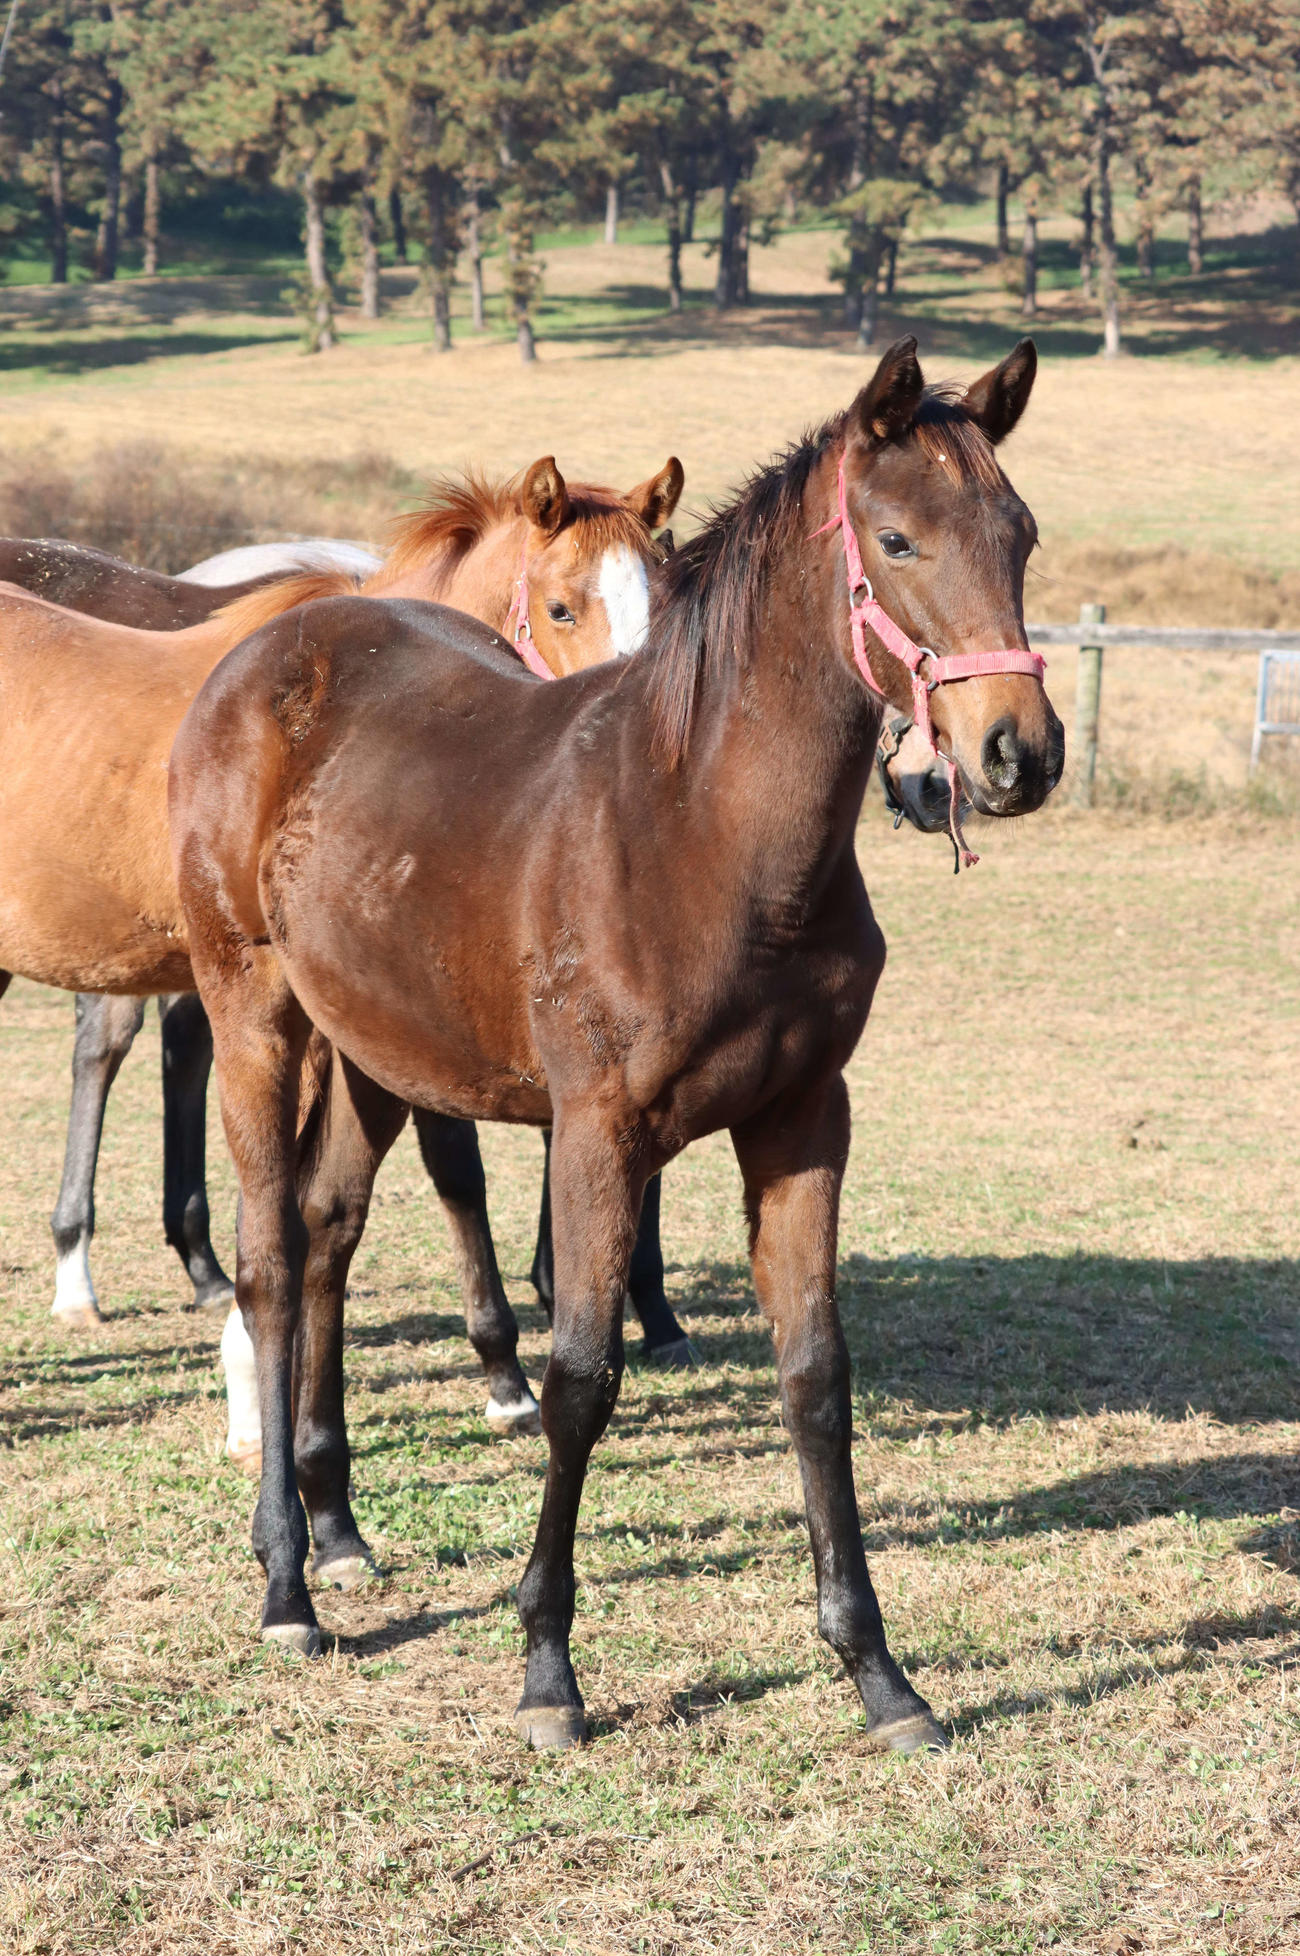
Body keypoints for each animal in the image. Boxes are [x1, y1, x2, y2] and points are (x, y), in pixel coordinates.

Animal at [168, 336, 1064, 1755]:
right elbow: (580, 1377)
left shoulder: (803, 1120)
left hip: (374, 1050)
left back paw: (337, 1526)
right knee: (266, 1262)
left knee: (324, 1236)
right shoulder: (596, 1133)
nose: (1015, 755)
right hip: (255, 1013)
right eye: (897, 539)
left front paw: (879, 1676)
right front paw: (547, 1671)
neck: (702, 829)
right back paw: (285, 1586)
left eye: (1019, 533)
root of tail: (270, 645)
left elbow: (816, 1373)